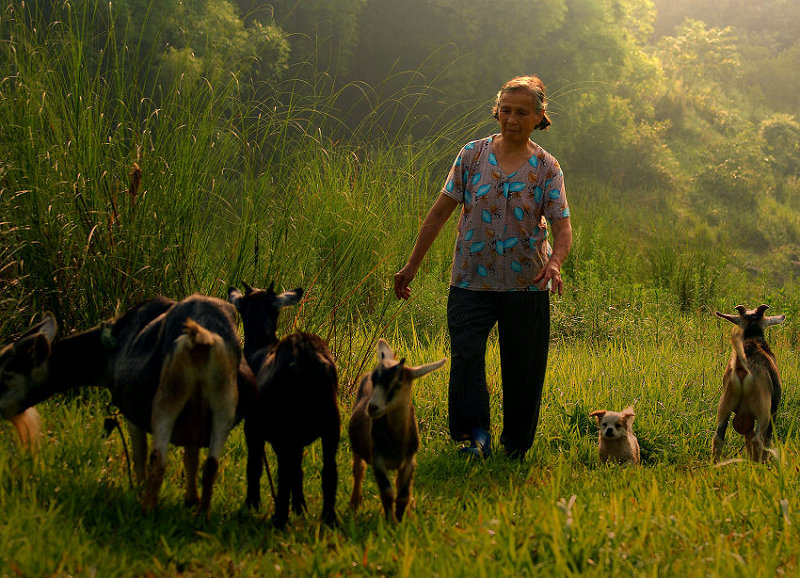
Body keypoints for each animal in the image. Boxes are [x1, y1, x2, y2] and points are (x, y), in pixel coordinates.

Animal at [0, 294, 256, 516]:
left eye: (8, 375)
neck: (112, 348)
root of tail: (201, 339)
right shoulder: (194, 422)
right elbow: (190, 458)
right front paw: (190, 501)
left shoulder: (132, 414)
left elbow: (139, 454)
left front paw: (138, 491)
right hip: (224, 401)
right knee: (211, 464)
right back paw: (202, 514)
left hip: (167, 397)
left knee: (158, 460)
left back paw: (147, 509)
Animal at [227, 280, 340, 528]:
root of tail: (306, 355)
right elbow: (298, 470)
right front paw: (301, 507)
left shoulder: (254, 428)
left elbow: (255, 466)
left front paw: (251, 505)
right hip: (330, 425)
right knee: (328, 470)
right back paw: (329, 519)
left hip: (289, 427)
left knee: (284, 473)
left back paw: (279, 518)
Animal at [350, 338, 446, 520]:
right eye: (374, 380)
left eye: (397, 384)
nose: (372, 407)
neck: (397, 441)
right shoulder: (377, 459)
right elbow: (388, 493)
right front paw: (391, 522)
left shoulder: (409, 461)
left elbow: (403, 495)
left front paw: (402, 520)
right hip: (358, 449)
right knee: (358, 471)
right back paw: (355, 503)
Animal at [716, 304, 784, 462]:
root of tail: (741, 368)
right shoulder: (773, 410)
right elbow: (767, 439)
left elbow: (747, 437)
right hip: (763, 408)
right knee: (758, 440)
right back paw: (759, 464)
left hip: (725, 404)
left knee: (718, 437)